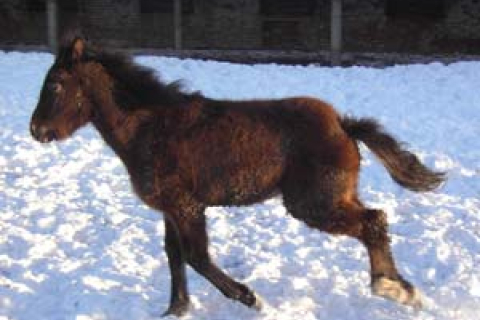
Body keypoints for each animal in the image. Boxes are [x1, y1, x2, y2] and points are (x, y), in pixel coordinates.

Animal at [29, 33, 442, 316]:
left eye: (56, 84)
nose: (36, 130)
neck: (148, 126)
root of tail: (343, 124)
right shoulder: (170, 209)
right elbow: (174, 255)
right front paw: (176, 309)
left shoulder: (187, 207)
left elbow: (196, 256)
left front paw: (248, 297)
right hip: (336, 197)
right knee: (376, 220)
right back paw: (398, 287)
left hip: (314, 204)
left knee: (373, 222)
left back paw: (393, 288)